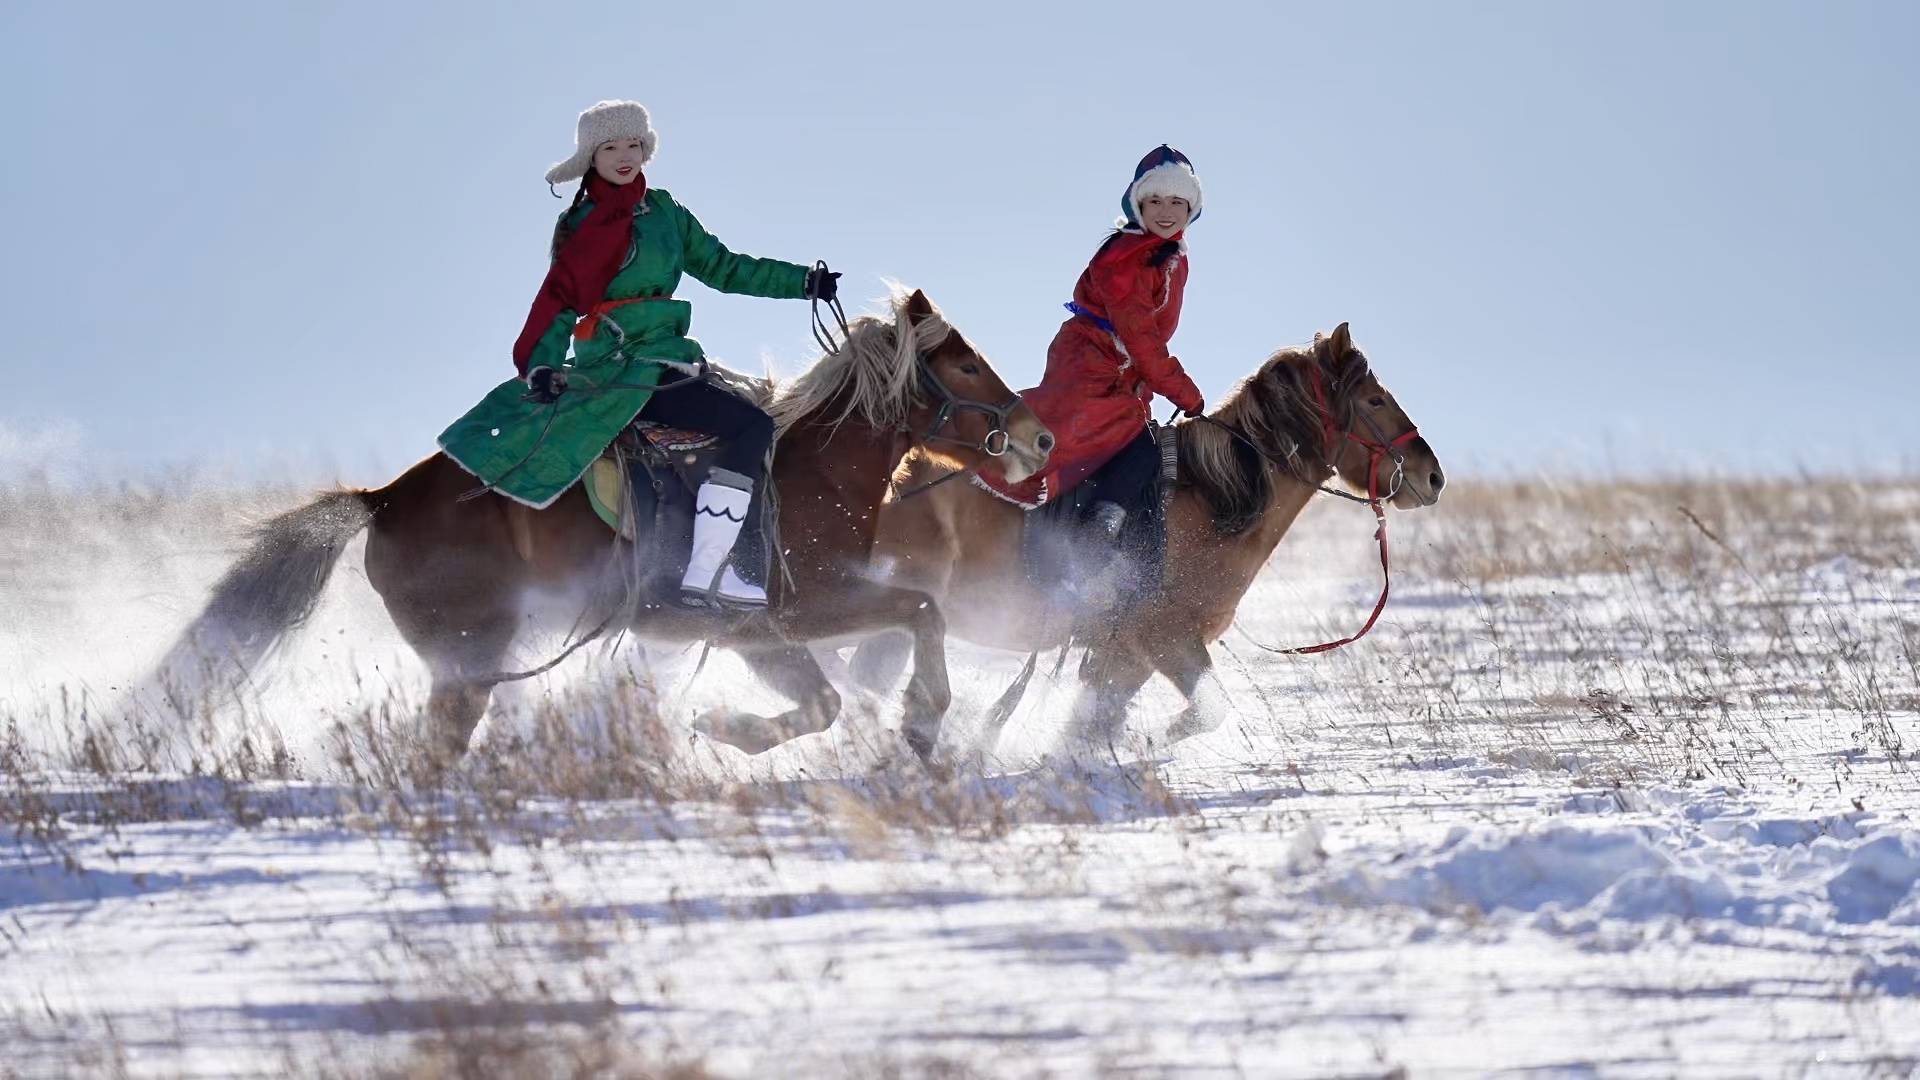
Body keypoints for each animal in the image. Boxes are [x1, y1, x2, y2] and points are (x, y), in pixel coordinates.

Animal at [852, 320, 1443, 749]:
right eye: (1373, 401)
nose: (1431, 476)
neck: (1213, 502)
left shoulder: (1126, 655)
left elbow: (1093, 724)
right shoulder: (1164, 638)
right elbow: (1206, 710)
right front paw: (1159, 736)